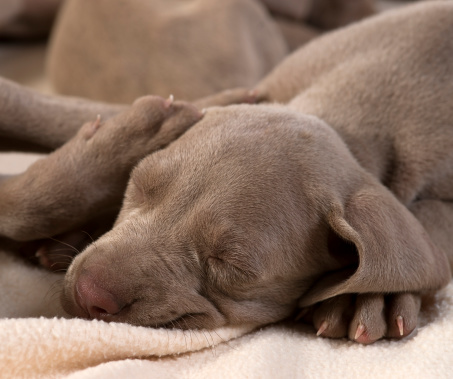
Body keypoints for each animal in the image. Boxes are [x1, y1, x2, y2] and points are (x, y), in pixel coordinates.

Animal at [0, 1, 452, 344]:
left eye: (229, 265)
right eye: (140, 184)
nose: (88, 291)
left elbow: (433, 223)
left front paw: (369, 300)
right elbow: (56, 118)